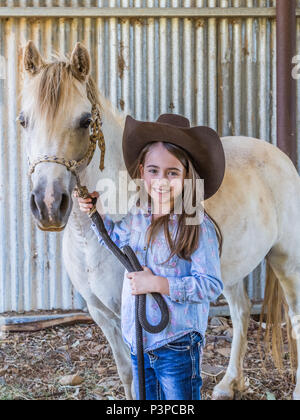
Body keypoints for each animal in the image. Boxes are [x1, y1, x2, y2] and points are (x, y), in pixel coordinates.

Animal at [18, 41, 300, 400]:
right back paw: (228, 384)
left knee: (294, 318)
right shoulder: (102, 316)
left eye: (84, 121)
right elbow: (128, 374)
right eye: (23, 120)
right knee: (240, 312)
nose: (49, 204)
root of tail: (278, 155)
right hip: (230, 272)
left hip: (287, 259)